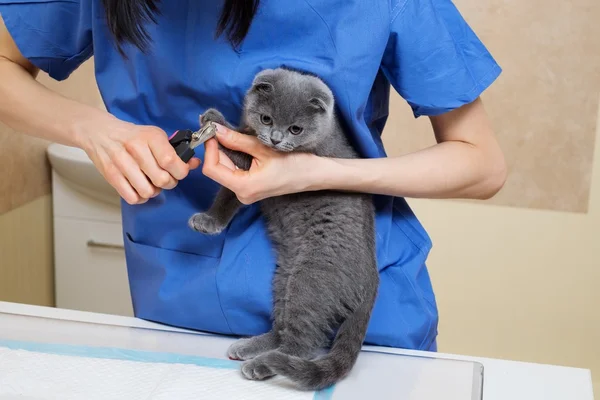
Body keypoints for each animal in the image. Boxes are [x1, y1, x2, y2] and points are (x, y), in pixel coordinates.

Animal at [190, 68, 378, 390]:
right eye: (266, 119)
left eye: (295, 129)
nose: (276, 139)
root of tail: (372, 279)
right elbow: (228, 197)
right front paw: (209, 222)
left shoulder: (257, 162)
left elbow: (238, 153)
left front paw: (216, 120)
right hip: (285, 276)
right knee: (284, 328)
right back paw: (250, 346)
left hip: (311, 278)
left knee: (303, 343)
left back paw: (262, 364)